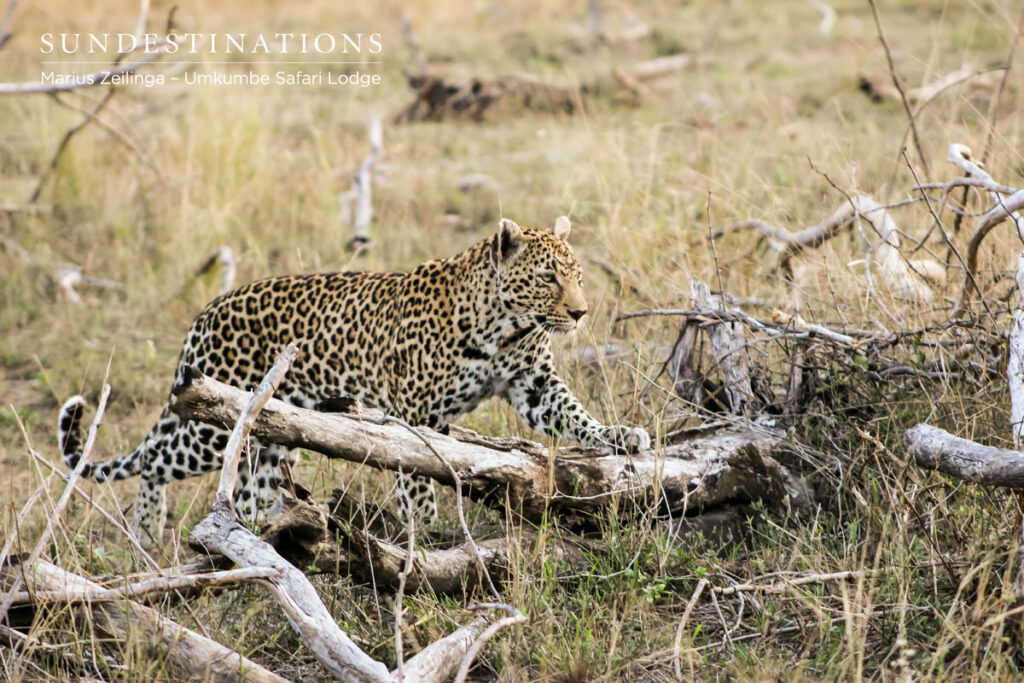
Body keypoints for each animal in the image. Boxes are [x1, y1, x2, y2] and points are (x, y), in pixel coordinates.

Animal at [57, 217, 651, 547]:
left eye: (577, 275)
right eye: (549, 277)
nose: (580, 313)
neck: (505, 327)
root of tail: (206, 312)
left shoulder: (534, 384)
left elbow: (576, 414)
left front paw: (619, 436)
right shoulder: (417, 416)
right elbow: (418, 481)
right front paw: (423, 536)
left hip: (272, 436)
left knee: (245, 493)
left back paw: (261, 538)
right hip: (212, 421)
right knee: (155, 461)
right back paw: (146, 530)